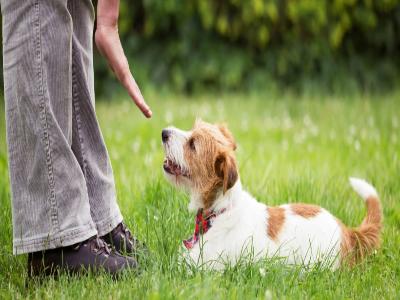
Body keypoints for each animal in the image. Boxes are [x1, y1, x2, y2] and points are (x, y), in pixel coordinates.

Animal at [161, 119, 382, 270]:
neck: (220, 209)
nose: (164, 132)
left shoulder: (203, 265)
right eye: (191, 129)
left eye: (193, 144)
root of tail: (347, 232)